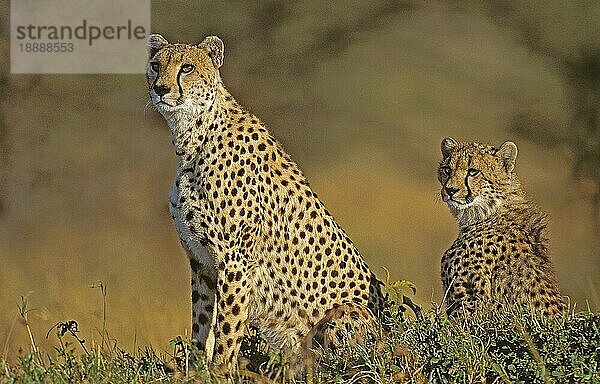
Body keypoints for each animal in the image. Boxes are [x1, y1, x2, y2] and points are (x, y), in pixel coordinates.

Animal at [146, 34, 390, 370]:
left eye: (187, 68)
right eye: (156, 66)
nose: (160, 88)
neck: (194, 136)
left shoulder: (235, 261)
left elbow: (227, 329)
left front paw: (220, 371)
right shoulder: (201, 261)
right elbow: (202, 322)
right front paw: (195, 371)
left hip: (346, 315)